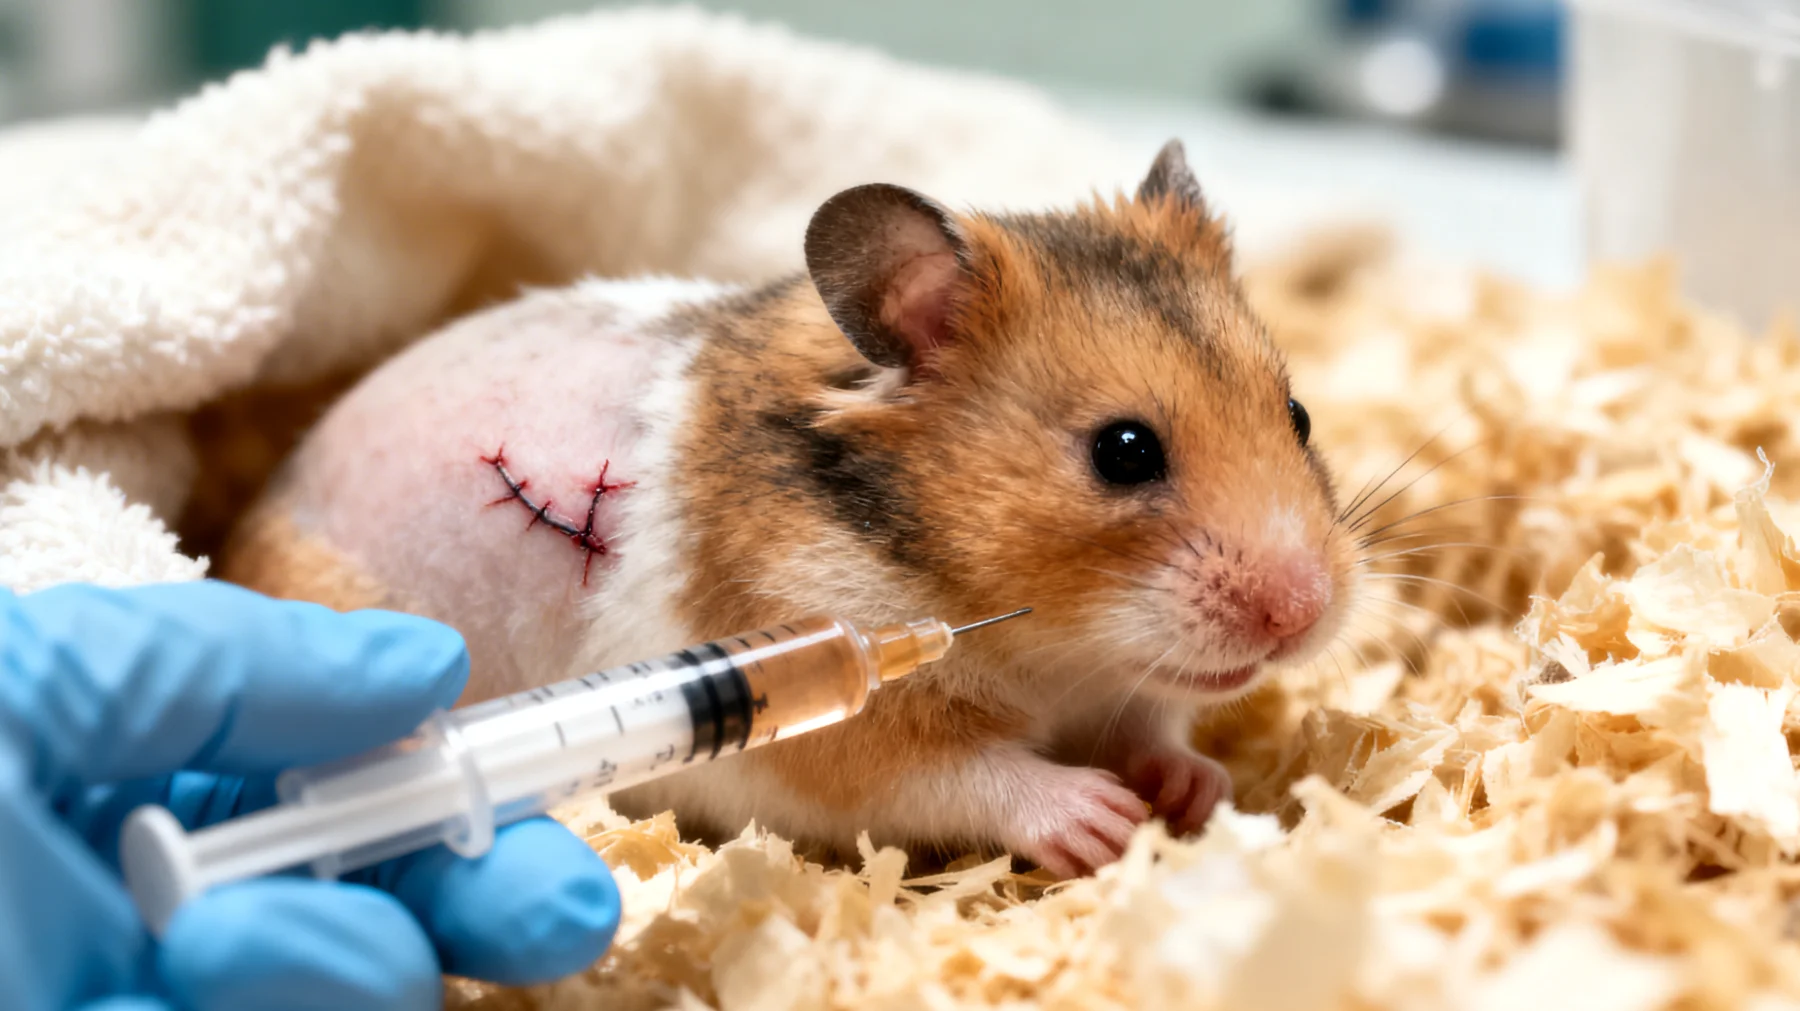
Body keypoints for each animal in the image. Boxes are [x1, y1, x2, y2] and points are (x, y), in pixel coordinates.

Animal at [221, 140, 1358, 878]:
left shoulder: (1126, 693)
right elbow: (970, 776)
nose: (1304, 614)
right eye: (1123, 452)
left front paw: (1195, 792)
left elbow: (1162, 729)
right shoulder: (840, 746)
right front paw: (1106, 821)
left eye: (1299, 413)